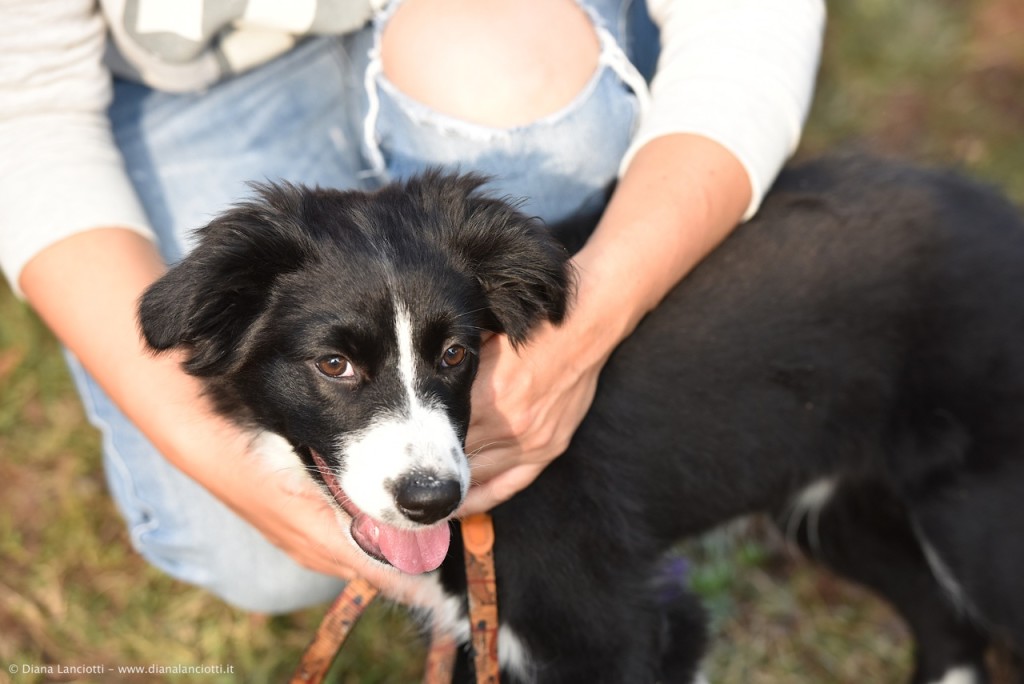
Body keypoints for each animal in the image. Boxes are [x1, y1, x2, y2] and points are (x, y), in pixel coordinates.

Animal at [138, 158, 1024, 684]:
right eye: (334, 365)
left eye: (457, 353)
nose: (431, 500)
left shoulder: (622, 625)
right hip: (841, 509)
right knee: (947, 627)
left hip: (978, 518)